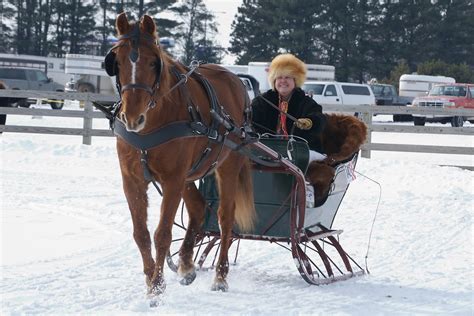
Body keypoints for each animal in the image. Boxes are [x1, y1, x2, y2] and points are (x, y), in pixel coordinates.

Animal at [106, 12, 256, 298]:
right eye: (116, 62)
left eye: (153, 62)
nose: (133, 117)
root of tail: (236, 81)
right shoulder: (132, 180)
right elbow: (141, 234)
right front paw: (151, 280)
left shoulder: (172, 179)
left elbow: (162, 234)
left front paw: (157, 286)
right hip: (189, 174)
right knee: (198, 208)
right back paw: (187, 265)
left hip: (227, 165)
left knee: (225, 217)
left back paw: (220, 277)